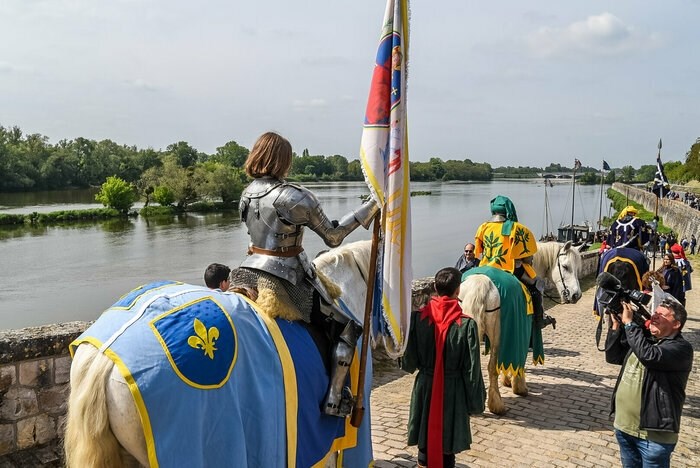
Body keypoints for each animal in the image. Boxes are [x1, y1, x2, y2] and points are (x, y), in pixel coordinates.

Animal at [460, 241, 584, 414]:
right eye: (565, 267)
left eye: (578, 268)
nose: (576, 295)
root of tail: (480, 284)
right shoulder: (523, 331)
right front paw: (519, 386)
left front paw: (507, 380)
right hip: (497, 336)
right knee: (491, 367)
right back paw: (497, 404)